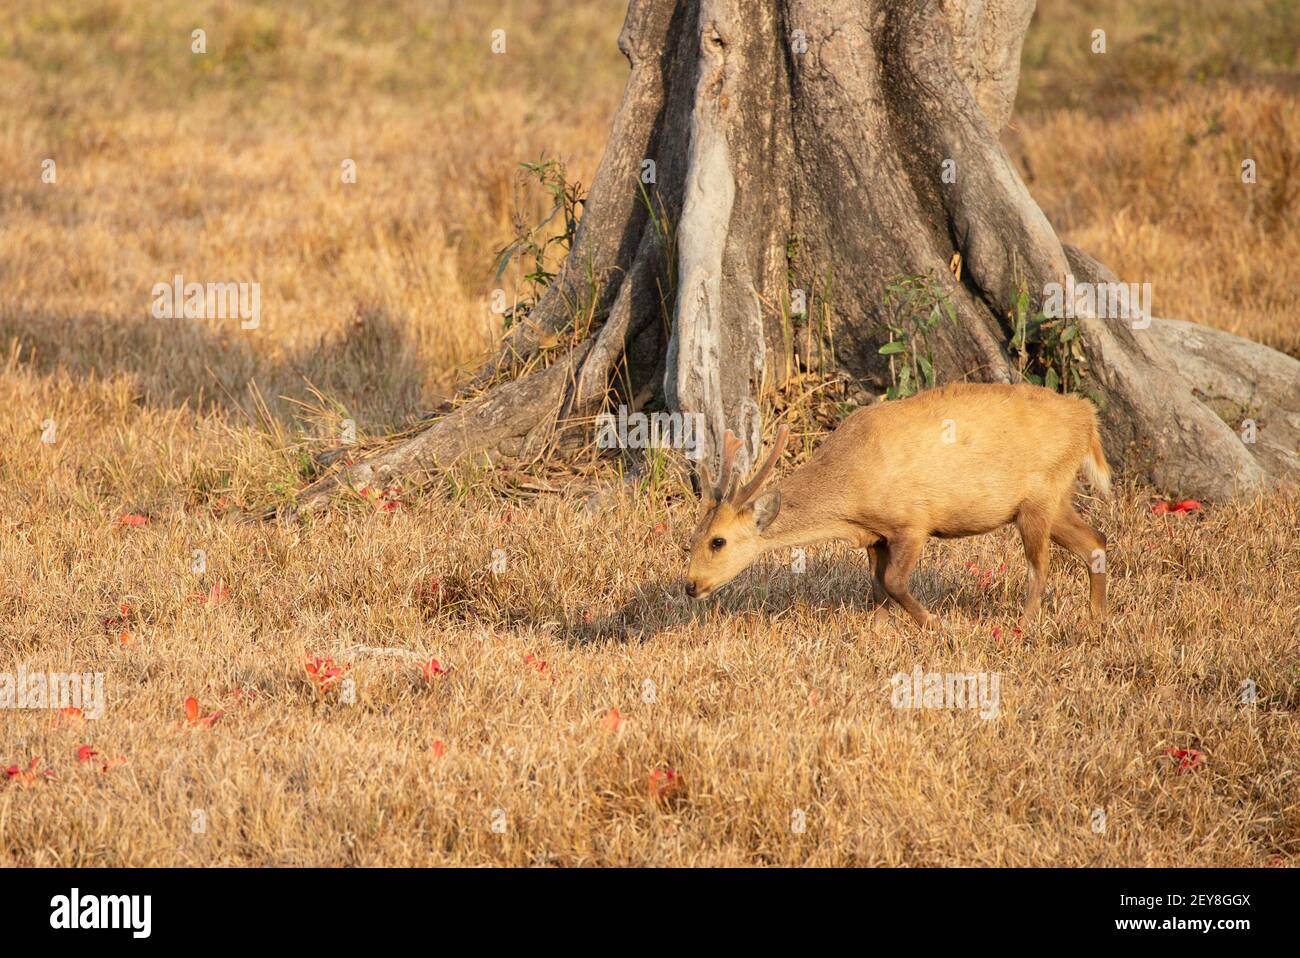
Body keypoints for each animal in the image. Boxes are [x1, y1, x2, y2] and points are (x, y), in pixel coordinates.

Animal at [686, 382, 1112, 629]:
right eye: (694, 536)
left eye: (718, 541)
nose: (690, 585)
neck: (850, 495)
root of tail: (1088, 416)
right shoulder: (876, 534)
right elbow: (876, 585)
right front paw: (879, 631)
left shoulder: (913, 522)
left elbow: (893, 581)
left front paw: (937, 625)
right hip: (1053, 497)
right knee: (1096, 541)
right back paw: (1095, 620)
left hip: (1040, 495)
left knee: (1039, 566)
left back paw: (1023, 625)